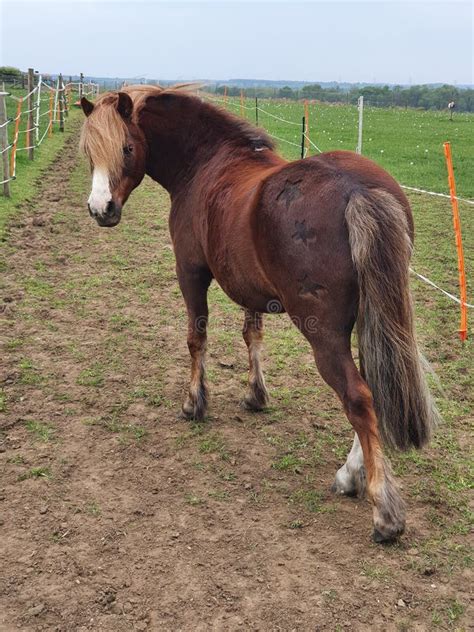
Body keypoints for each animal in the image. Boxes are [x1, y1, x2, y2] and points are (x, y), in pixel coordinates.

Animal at [79, 85, 438, 544]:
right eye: (91, 151)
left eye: (126, 147)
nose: (100, 208)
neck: (208, 162)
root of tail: (358, 190)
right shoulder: (250, 289)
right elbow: (253, 336)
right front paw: (255, 395)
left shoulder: (191, 273)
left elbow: (197, 338)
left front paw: (194, 402)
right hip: (371, 322)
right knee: (371, 385)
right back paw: (350, 474)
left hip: (324, 335)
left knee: (358, 397)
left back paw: (384, 511)